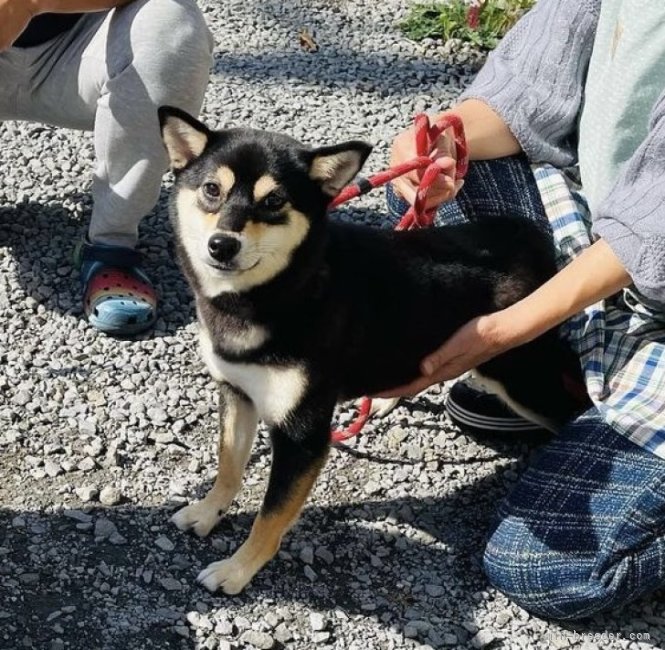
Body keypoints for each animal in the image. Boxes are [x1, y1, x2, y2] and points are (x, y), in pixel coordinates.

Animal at [158, 106, 584, 592]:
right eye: (212, 189)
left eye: (273, 201)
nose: (222, 244)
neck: (280, 292)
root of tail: (527, 235)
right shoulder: (236, 392)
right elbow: (228, 466)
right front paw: (207, 512)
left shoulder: (303, 435)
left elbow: (270, 517)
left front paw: (237, 569)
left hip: (521, 375)